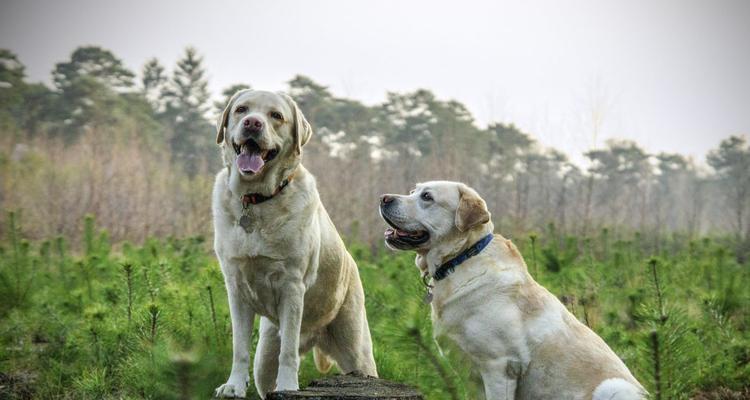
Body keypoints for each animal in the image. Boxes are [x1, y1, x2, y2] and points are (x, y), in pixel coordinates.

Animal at [213, 89, 376, 398]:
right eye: (242, 110)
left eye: (276, 116)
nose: (253, 123)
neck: (258, 200)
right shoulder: (236, 288)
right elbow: (239, 347)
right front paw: (234, 385)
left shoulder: (291, 286)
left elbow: (287, 353)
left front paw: (289, 387)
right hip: (264, 356)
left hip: (357, 351)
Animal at [382, 181, 648, 400]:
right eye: (412, 191)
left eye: (427, 197)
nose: (384, 198)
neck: (462, 258)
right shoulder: (471, 376)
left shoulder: (499, 367)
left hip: (613, 387)